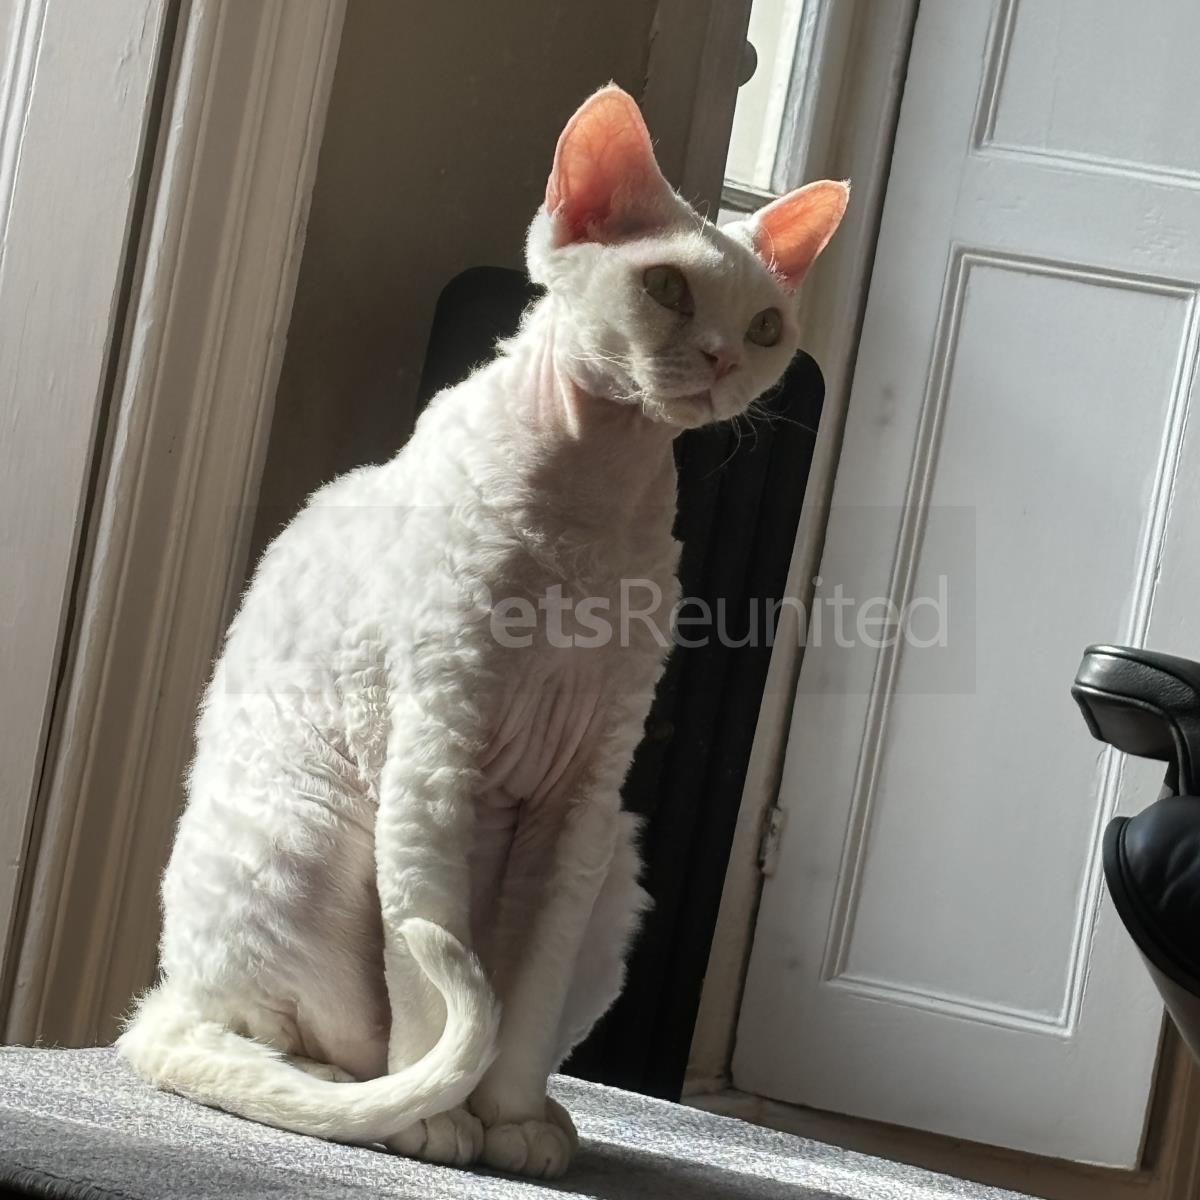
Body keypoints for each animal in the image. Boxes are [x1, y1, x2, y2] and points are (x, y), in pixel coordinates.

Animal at [116, 84, 847, 1179]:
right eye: (668, 289)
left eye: (765, 325)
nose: (724, 358)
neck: (592, 509)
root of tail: (161, 997)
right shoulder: (434, 762)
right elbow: (427, 978)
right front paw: (443, 1129)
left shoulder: (582, 799)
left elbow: (523, 1002)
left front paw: (511, 1128)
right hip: (311, 838)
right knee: (295, 1036)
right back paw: (369, 1101)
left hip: (618, 873)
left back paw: (543, 1116)